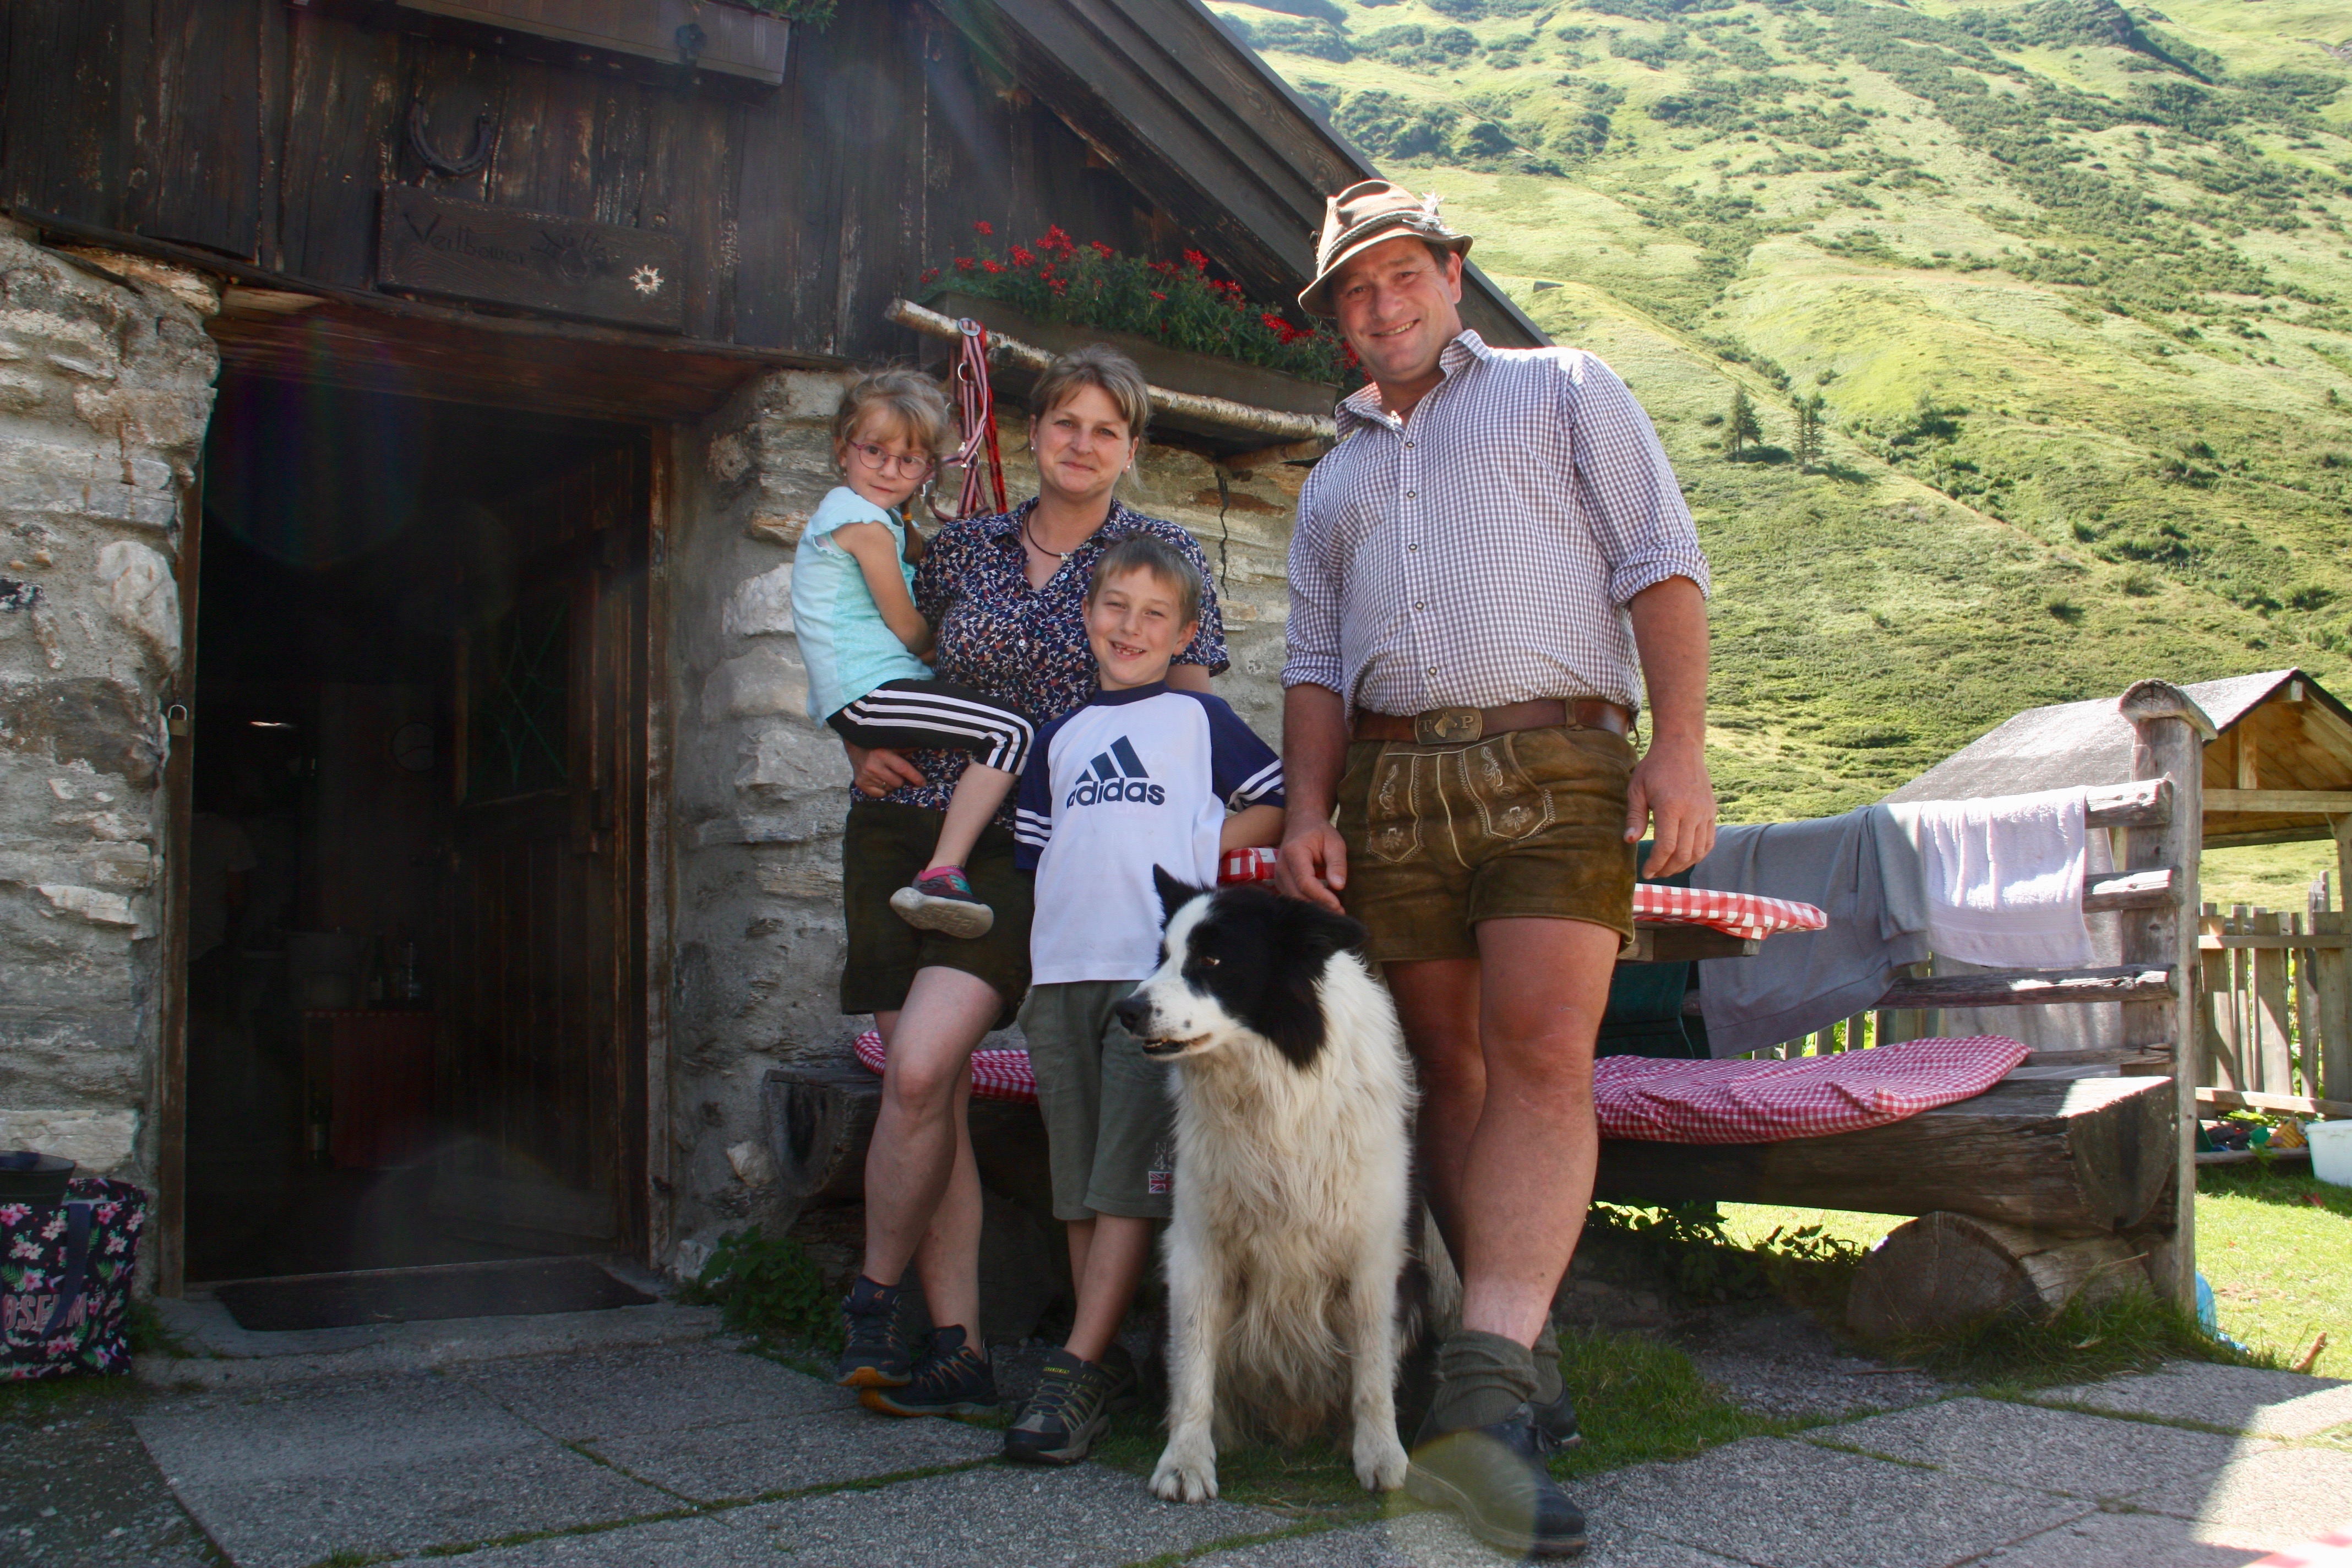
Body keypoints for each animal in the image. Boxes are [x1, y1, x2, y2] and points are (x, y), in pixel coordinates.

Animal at [1105, 879, 1402, 1504]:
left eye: (1213, 961)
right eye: (1162, 955)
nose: (1127, 1011)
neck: (1273, 1082)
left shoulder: (1373, 1249)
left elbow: (1372, 1365)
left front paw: (1381, 1454)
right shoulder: (1197, 1244)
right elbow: (1193, 1363)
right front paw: (1185, 1462)